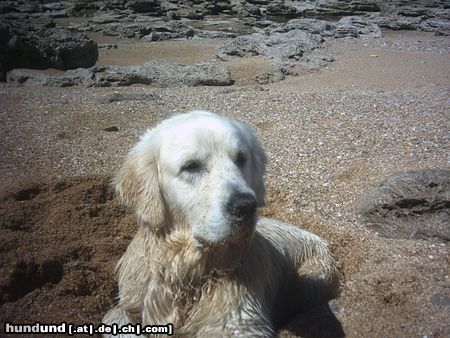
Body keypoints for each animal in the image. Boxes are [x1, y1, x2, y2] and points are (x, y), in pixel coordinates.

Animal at [103, 110, 340, 336]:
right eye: (191, 166)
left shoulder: (239, 320)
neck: (189, 277)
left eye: (241, 158)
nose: (246, 206)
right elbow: (114, 315)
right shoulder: (130, 302)